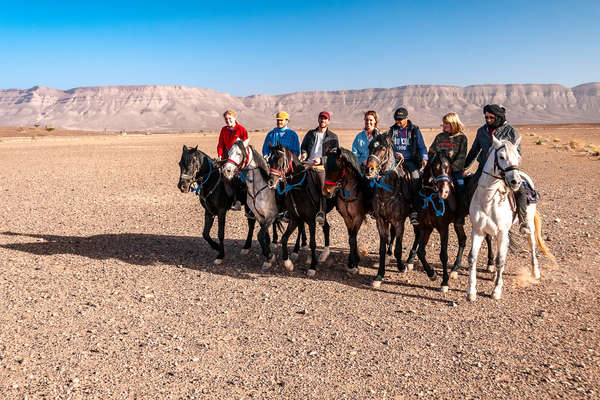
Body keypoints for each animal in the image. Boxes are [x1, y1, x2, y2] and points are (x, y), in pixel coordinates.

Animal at [223, 139, 278, 270]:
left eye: (239, 153)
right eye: (228, 153)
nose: (226, 171)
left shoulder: (271, 215)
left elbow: (261, 235)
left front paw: (269, 257)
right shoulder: (259, 215)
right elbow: (263, 235)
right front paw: (268, 255)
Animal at [266, 144, 332, 278]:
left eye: (280, 161)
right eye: (269, 160)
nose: (270, 182)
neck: (299, 187)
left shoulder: (311, 220)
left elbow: (313, 243)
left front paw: (312, 267)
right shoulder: (295, 218)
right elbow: (284, 239)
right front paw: (288, 263)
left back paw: (324, 253)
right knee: (325, 227)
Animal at [364, 134, 424, 288]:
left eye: (383, 148)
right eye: (370, 146)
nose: (369, 169)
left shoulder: (399, 222)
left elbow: (398, 248)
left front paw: (401, 267)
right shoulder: (381, 221)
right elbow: (382, 248)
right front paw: (379, 275)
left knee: (418, 234)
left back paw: (410, 260)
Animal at [466, 137, 552, 300]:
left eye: (517, 157)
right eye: (501, 157)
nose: (515, 182)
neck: (488, 200)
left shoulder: (502, 232)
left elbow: (500, 259)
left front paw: (496, 290)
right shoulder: (478, 231)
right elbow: (473, 257)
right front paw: (471, 292)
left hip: (528, 225)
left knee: (531, 245)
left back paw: (535, 272)